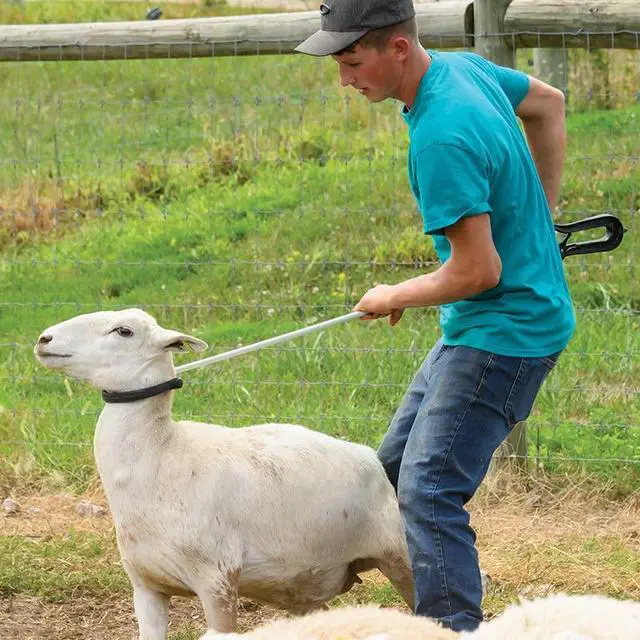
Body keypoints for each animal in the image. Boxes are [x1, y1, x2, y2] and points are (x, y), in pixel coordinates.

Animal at [34, 308, 414, 639]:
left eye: (123, 331)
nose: (43, 338)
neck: (163, 455)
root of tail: (371, 457)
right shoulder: (146, 587)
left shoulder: (216, 581)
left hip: (399, 555)